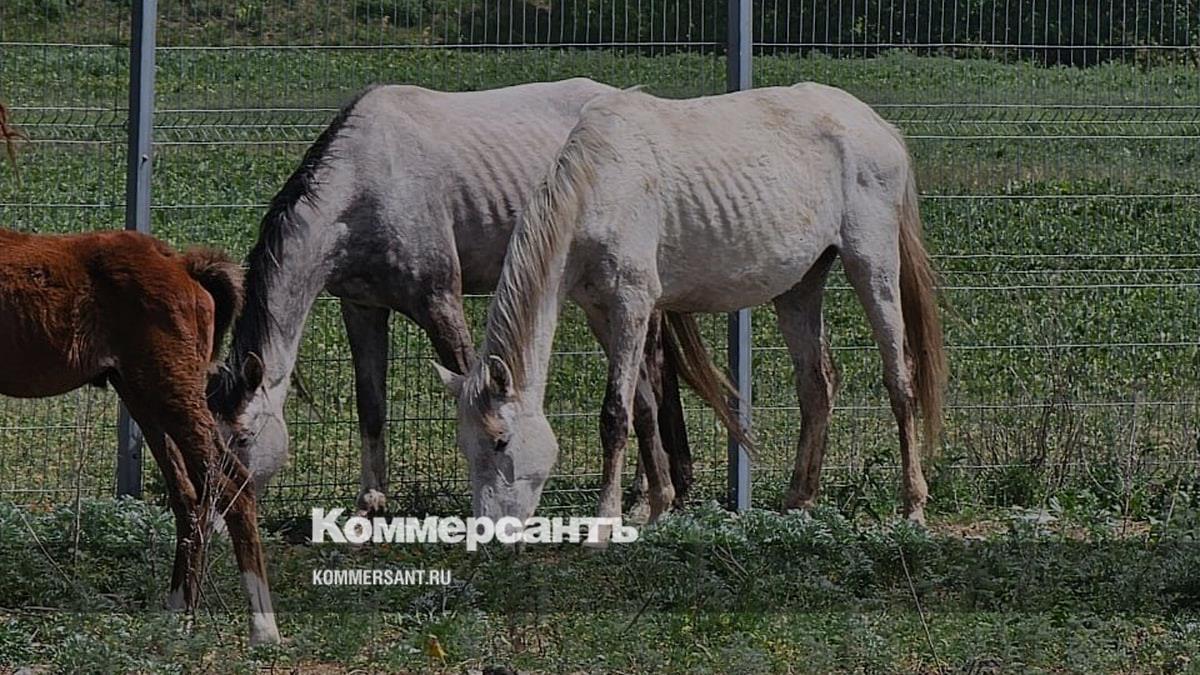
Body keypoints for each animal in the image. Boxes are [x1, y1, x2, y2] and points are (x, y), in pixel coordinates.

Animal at [0, 228, 278, 643]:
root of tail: (183, 267)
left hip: (170, 390)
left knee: (233, 485)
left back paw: (263, 629)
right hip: (141, 395)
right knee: (189, 494)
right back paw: (178, 615)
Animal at [206, 79, 720, 521]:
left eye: (244, 438)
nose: (219, 514)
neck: (368, 182)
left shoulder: (439, 302)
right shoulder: (362, 307)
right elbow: (370, 404)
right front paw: (370, 503)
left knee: (650, 372)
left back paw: (644, 495)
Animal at [439, 82, 945, 526]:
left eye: (501, 442)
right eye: (464, 446)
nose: (489, 528)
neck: (599, 185)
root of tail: (878, 125)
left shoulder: (632, 304)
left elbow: (615, 414)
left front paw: (606, 521)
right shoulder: (601, 313)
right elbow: (644, 407)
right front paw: (658, 505)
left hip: (872, 263)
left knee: (900, 379)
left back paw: (913, 507)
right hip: (800, 286)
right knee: (816, 385)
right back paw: (798, 501)